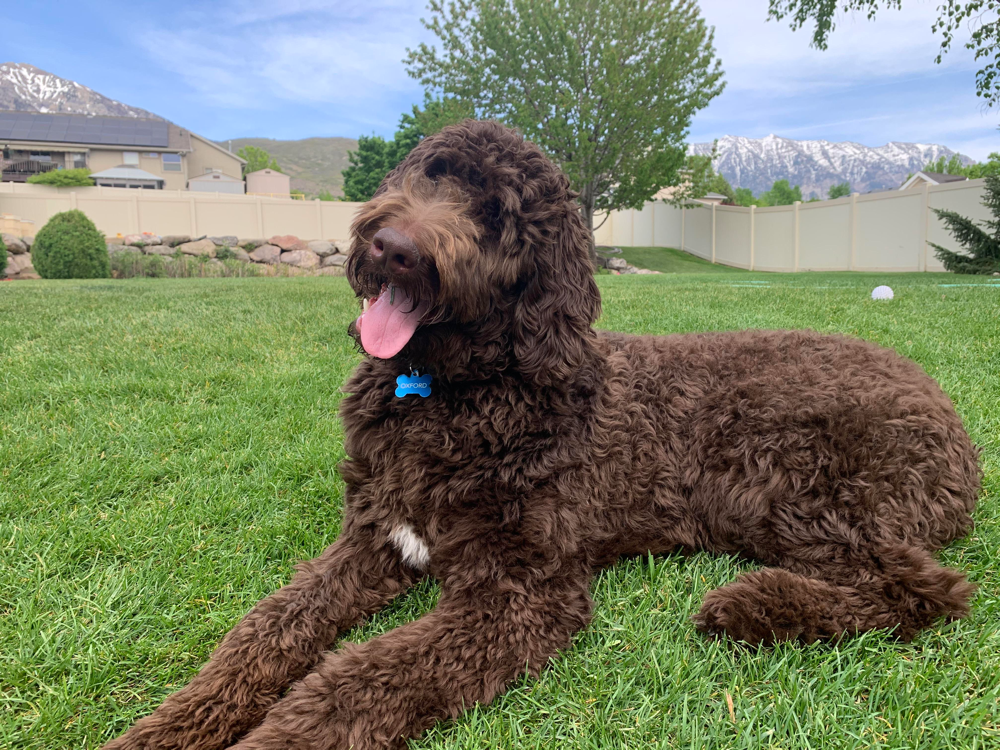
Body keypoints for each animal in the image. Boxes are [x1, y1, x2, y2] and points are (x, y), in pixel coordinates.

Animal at [105, 120, 980, 748]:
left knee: (928, 590)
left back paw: (752, 606)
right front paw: (168, 727)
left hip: (791, 484)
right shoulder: (370, 541)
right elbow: (259, 634)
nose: (392, 247)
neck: (453, 391)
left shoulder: (519, 594)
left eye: (497, 218)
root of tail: (952, 423)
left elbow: (356, 678)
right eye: (431, 174)